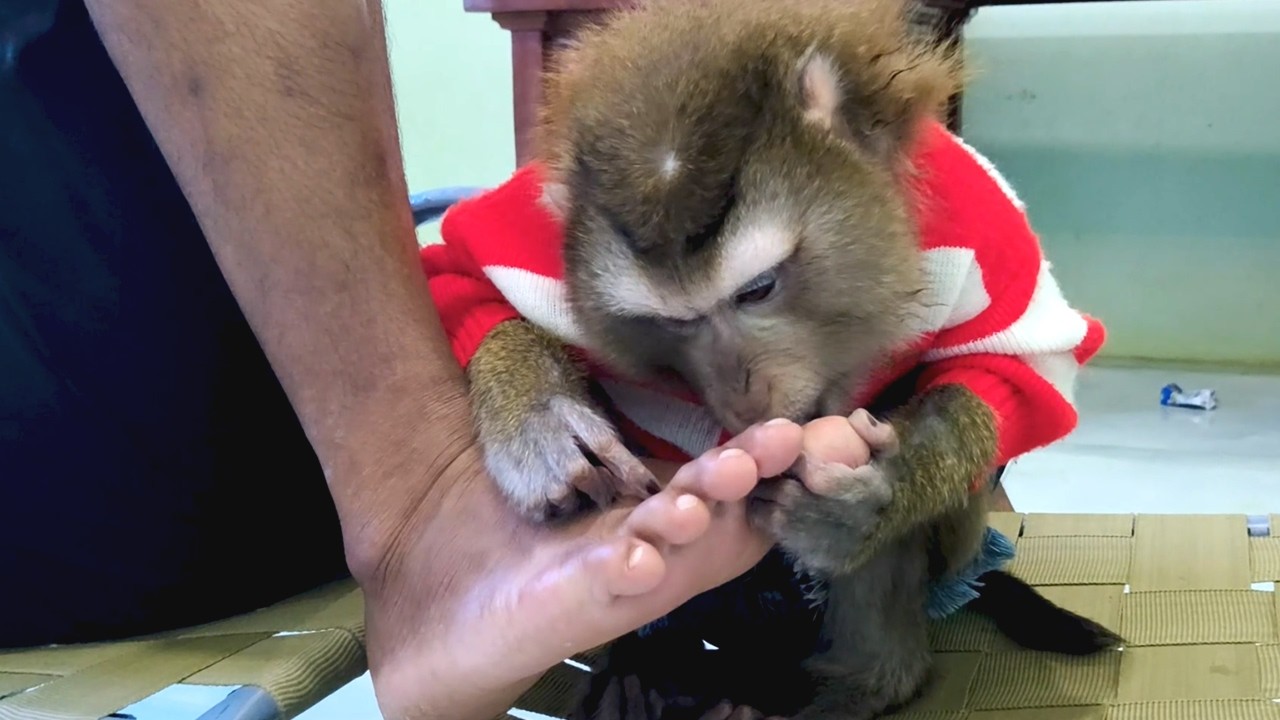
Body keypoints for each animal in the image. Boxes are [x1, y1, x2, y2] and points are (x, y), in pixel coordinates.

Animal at [418, 0, 1123, 718]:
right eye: (675, 322)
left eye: (757, 289)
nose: (745, 401)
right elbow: (460, 274)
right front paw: (543, 420)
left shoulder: (974, 217)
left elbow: (1022, 365)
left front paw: (884, 490)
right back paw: (652, 663)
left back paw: (861, 681)